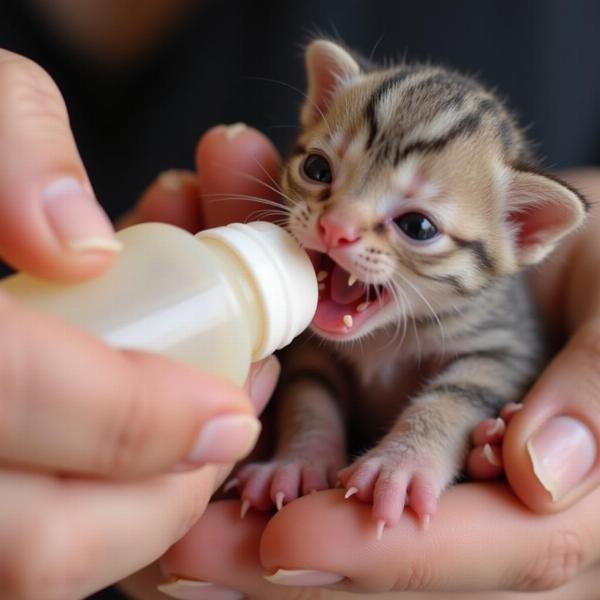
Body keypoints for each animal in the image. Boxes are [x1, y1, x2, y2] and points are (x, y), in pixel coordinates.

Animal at [232, 38, 588, 536]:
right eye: (317, 169)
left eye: (418, 226)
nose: (335, 228)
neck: (383, 339)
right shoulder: (312, 349)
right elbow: (308, 394)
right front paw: (298, 462)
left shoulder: (507, 346)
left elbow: (453, 395)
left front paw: (401, 462)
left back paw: (492, 448)